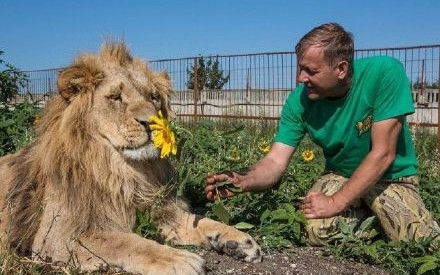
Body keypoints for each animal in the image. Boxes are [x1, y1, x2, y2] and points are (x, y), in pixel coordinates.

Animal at [0, 42, 262, 274]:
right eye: (116, 97)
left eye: (154, 97)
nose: (151, 123)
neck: (127, 173)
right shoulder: (56, 236)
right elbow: (124, 241)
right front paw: (178, 259)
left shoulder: (161, 212)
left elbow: (198, 219)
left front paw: (239, 240)